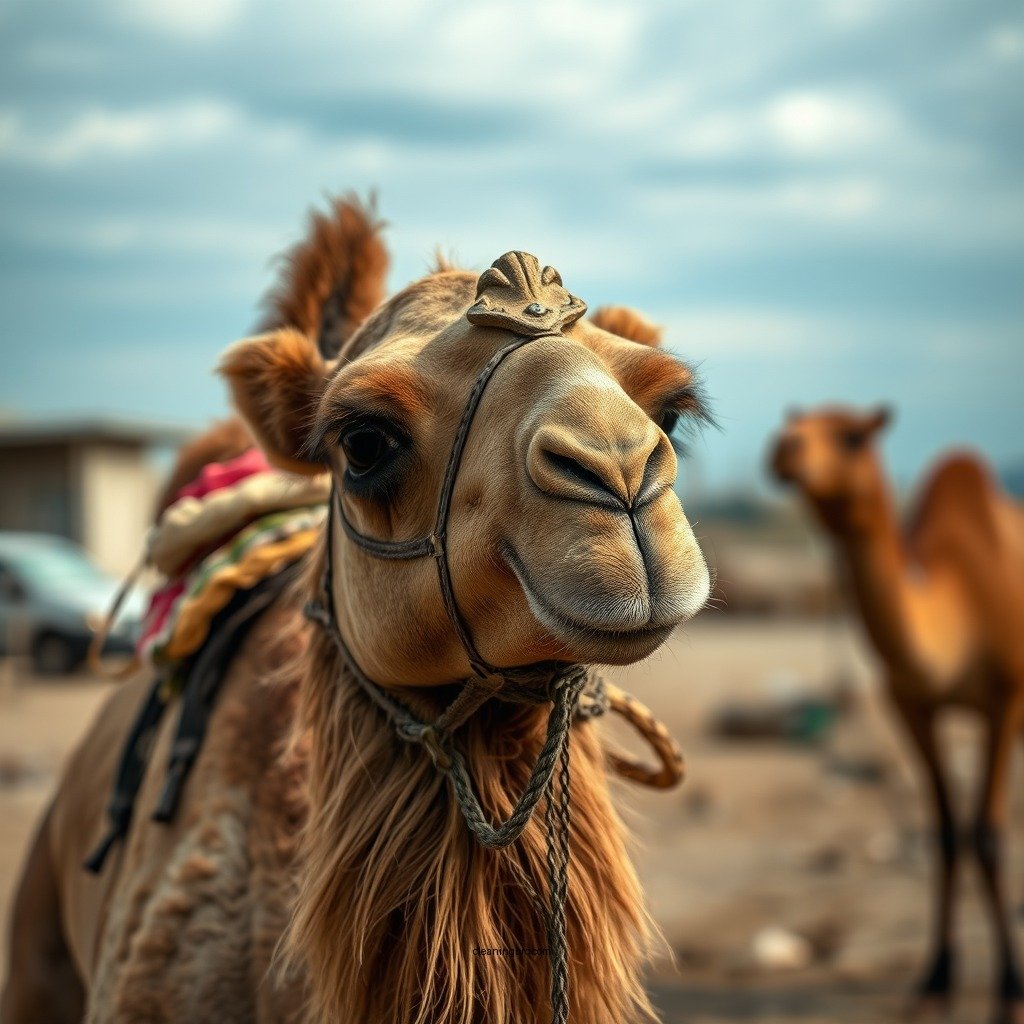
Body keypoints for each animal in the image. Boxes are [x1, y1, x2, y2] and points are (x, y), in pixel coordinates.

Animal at [771, 405, 1024, 1024]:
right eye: (796, 422)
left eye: (852, 436)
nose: (784, 448)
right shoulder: (913, 705)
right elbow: (946, 835)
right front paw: (935, 982)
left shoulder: (1005, 700)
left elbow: (989, 835)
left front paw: (1010, 991)